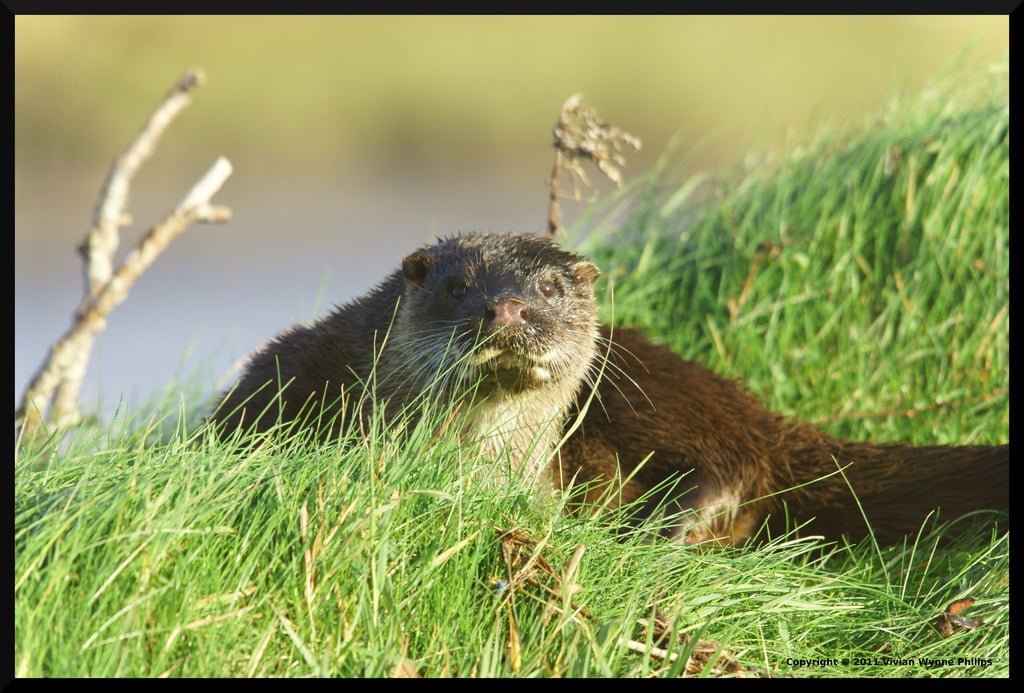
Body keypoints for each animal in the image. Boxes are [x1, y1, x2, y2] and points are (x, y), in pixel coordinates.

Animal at [210, 232, 1008, 545]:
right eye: (458, 285)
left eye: (549, 287)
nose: (507, 308)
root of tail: (759, 411)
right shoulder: (280, 377)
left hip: (657, 396)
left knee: (733, 469)